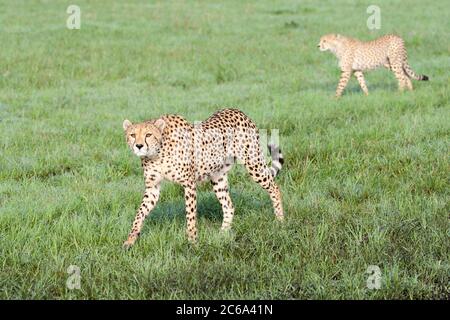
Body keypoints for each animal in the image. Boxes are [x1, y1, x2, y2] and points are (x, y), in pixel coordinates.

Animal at [122, 107, 284, 248]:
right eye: (132, 135)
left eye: (148, 134)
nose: (139, 146)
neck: (156, 154)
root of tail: (238, 111)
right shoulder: (152, 188)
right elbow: (139, 213)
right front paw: (130, 240)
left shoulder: (189, 184)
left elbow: (190, 215)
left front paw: (192, 242)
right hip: (218, 177)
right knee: (228, 205)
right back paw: (222, 234)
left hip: (253, 163)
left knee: (274, 187)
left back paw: (280, 220)